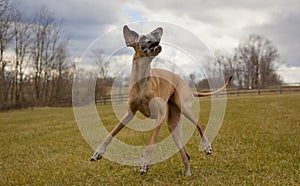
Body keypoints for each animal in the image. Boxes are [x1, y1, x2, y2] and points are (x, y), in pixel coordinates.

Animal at [91, 25, 232, 176]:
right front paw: (98, 151)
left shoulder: (159, 116)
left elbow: (151, 140)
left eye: (155, 34)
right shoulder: (129, 114)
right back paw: (188, 174)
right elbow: (112, 132)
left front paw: (145, 162)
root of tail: (187, 85)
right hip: (173, 125)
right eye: (145, 37)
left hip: (183, 106)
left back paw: (206, 145)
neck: (142, 81)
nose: (158, 38)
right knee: (185, 154)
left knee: (201, 125)